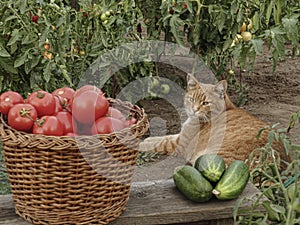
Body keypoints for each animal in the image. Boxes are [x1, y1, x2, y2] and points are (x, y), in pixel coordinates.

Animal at [139, 74, 290, 166]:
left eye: (205, 103)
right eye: (192, 99)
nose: (194, 109)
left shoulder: (179, 144)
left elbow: (159, 143)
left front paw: (140, 143)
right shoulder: (180, 136)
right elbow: (163, 137)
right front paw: (147, 139)